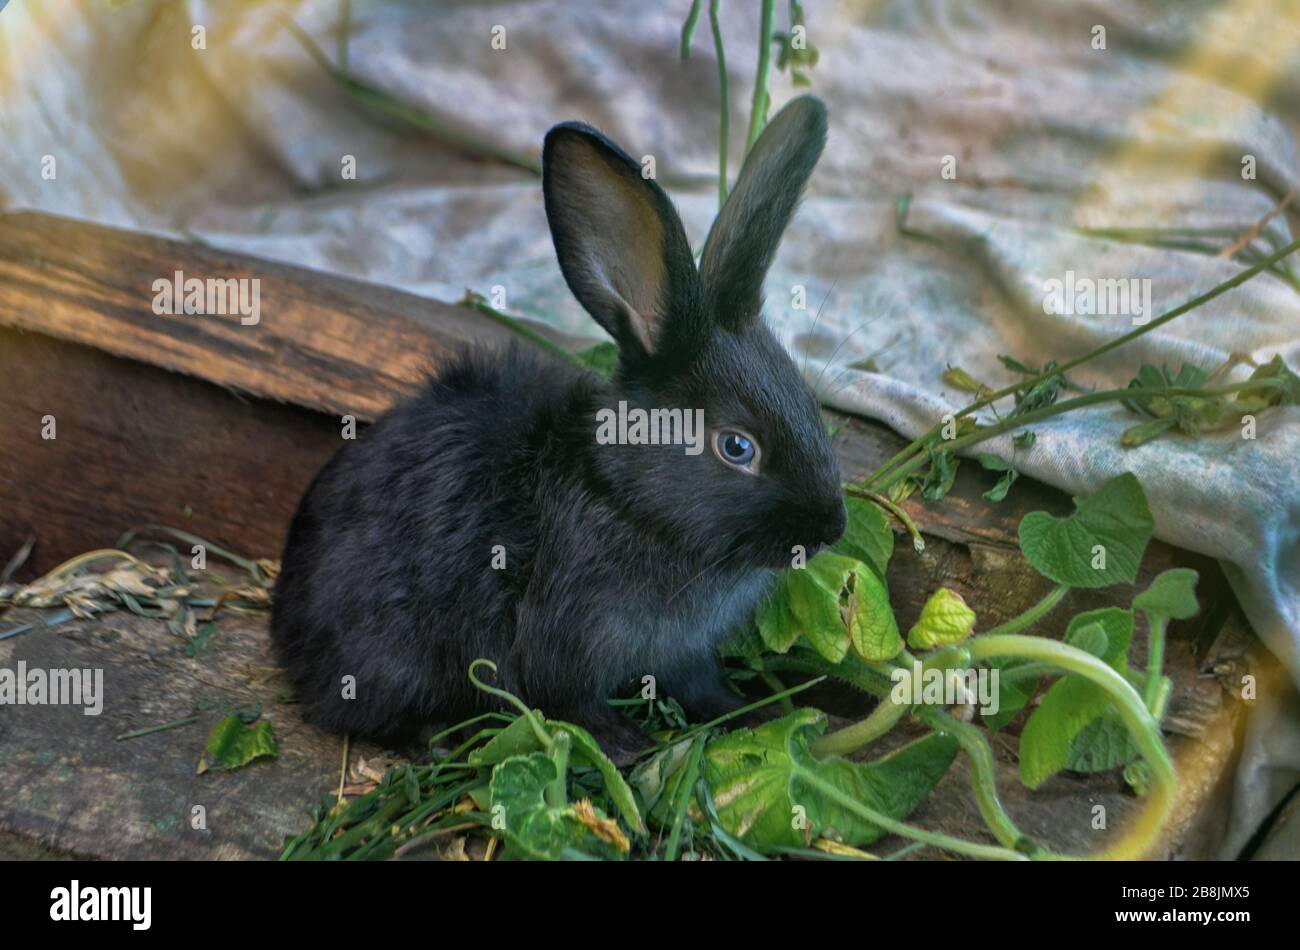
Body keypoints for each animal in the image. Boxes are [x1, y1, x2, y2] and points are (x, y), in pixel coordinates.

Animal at [269, 92, 847, 753]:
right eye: (736, 447)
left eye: (808, 400)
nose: (831, 528)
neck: (624, 499)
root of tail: (285, 631)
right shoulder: (562, 642)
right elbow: (572, 701)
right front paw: (626, 743)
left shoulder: (684, 655)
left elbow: (701, 685)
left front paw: (753, 712)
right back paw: (440, 736)